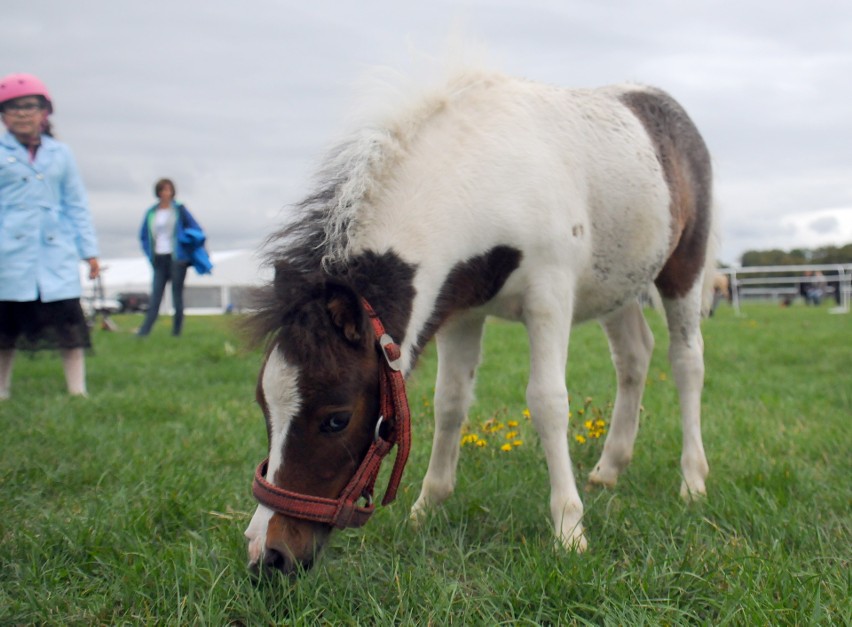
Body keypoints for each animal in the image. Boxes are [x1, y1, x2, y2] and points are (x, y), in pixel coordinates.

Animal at [243, 67, 716, 576]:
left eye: (336, 419)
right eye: (264, 407)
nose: (266, 555)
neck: (488, 175)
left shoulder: (550, 296)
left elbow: (548, 402)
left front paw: (569, 529)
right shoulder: (460, 313)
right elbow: (449, 401)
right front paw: (426, 507)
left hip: (683, 268)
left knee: (687, 361)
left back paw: (692, 481)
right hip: (617, 285)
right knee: (634, 356)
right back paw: (608, 470)